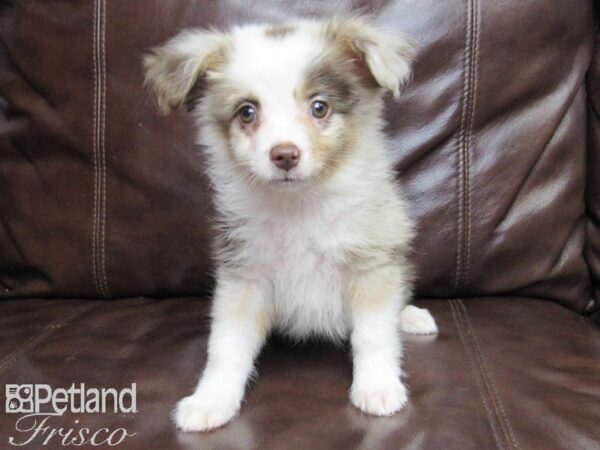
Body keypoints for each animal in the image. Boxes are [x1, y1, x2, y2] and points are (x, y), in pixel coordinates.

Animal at [145, 17, 436, 432]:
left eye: (319, 107)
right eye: (246, 112)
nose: (284, 154)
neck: (300, 206)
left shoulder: (371, 264)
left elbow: (374, 334)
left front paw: (378, 387)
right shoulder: (245, 275)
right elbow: (226, 346)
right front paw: (211, 399)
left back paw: (411, 316)